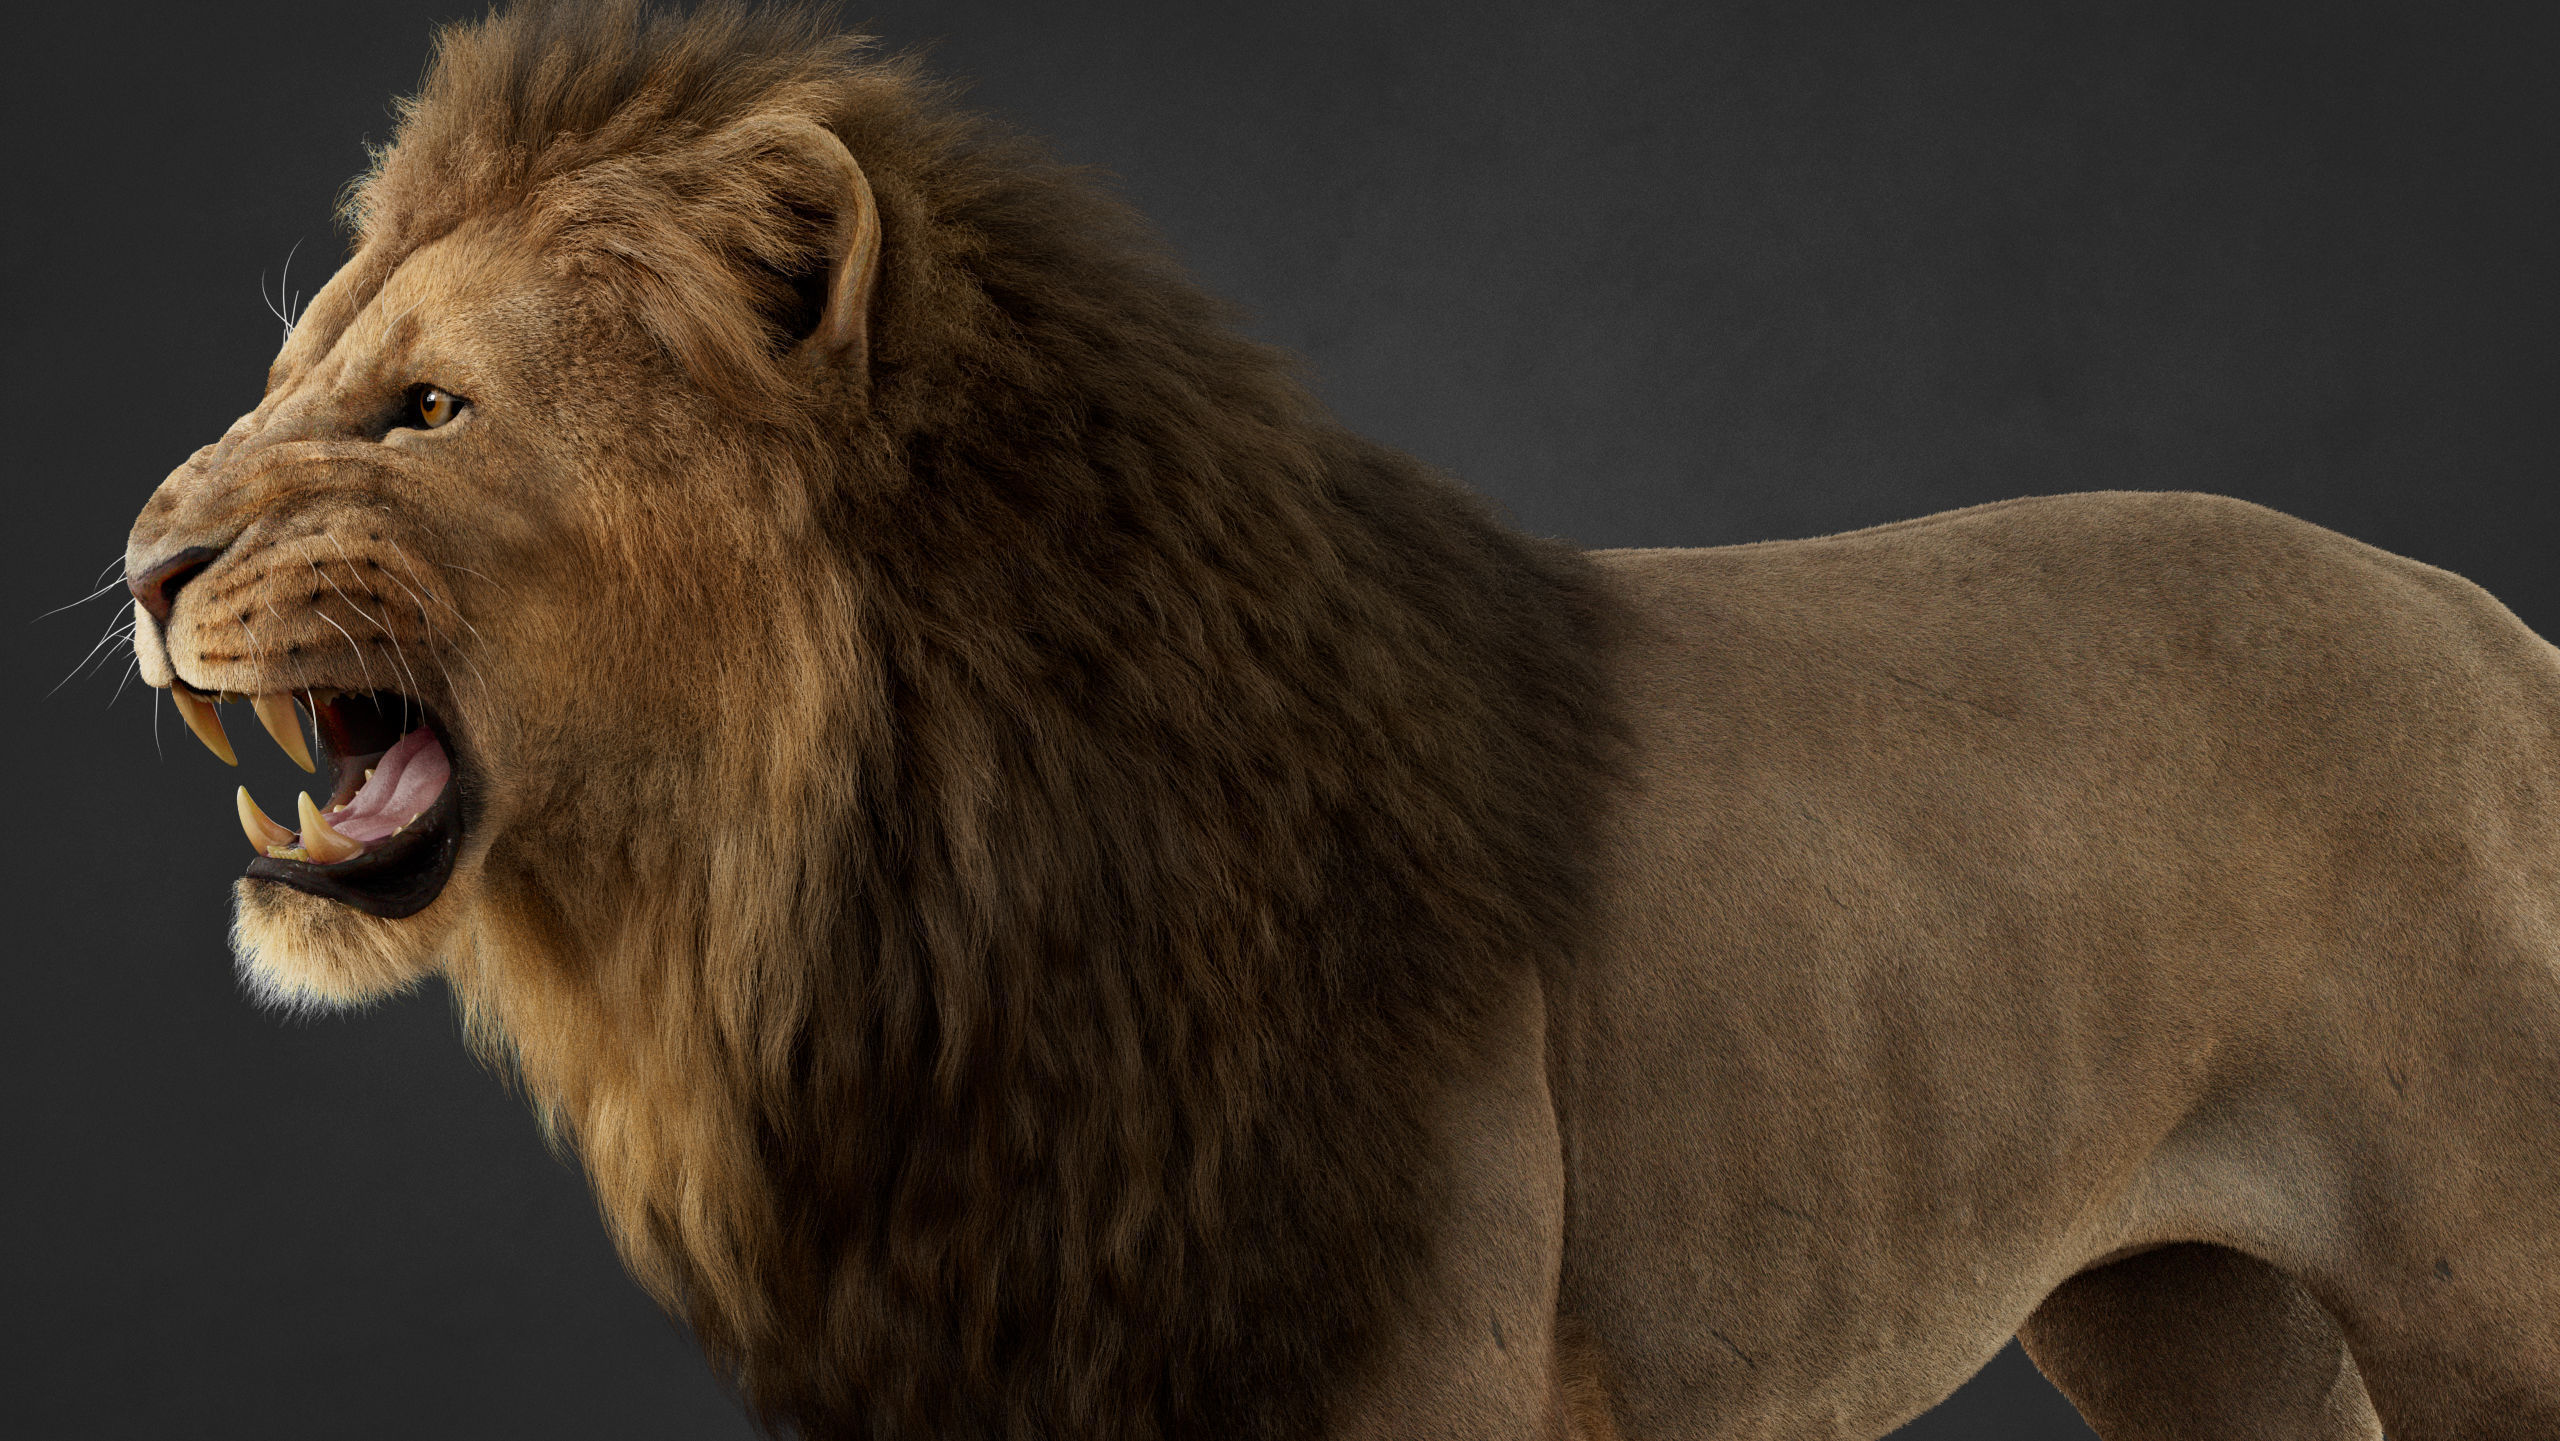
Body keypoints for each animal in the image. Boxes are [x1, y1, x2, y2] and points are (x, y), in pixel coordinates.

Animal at [122, 3, 2560, 1438]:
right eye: (290, 367)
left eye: (425, 410)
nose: (140, 562)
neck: (842, 924)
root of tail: (2490, 625)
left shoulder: (1409, 1369)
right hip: (2191, 1320)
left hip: (2485, 1298)